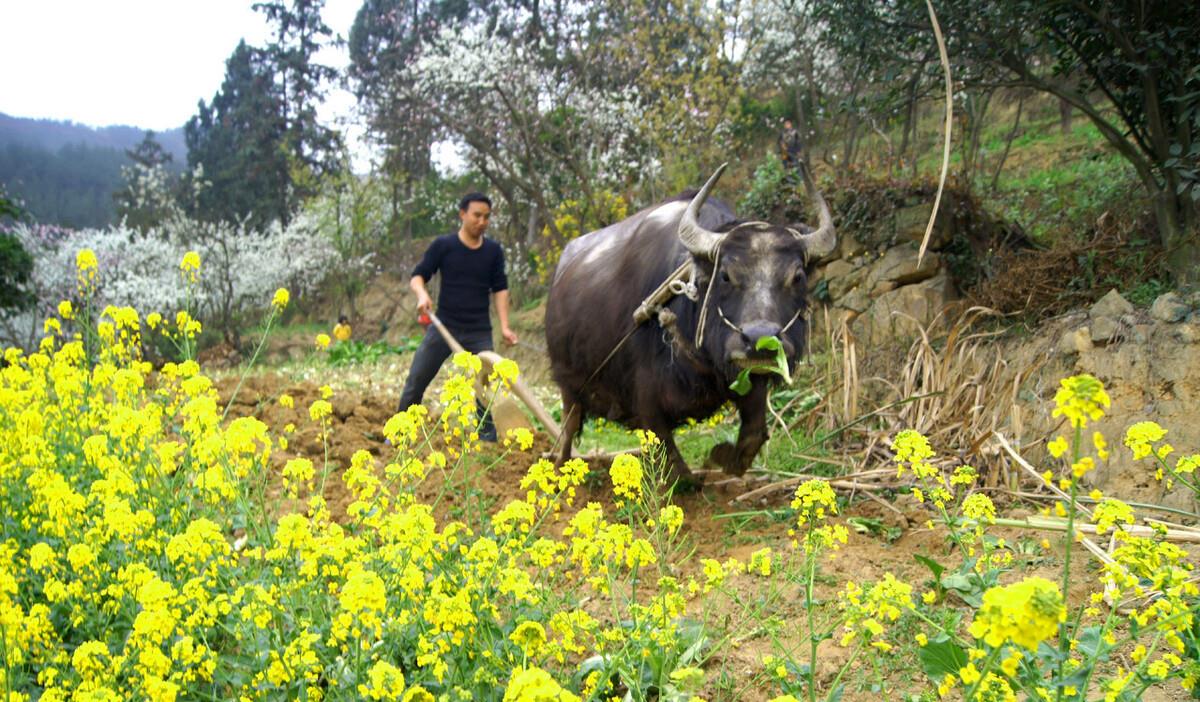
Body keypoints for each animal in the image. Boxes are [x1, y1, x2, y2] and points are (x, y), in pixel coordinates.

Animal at [544, 163, 835, 482]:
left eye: (798, 277)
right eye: (725, 276)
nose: (760, 338)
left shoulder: (747, 378)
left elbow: (754, 433)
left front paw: (720, 457)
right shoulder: (645, 394)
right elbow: (670, 456)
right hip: (568, 381)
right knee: (569, 425)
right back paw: (559, 467)